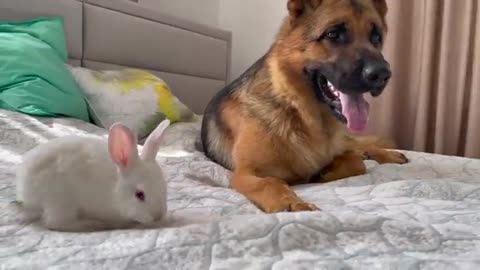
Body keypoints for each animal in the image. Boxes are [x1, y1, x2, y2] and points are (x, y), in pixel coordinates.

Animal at [15, 120, 171, 232]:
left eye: (164, 188)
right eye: (139, 195)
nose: (158, 216)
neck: (115, 189)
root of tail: (25, 192)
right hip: (60, 200)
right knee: (54, 223)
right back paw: (93, 224)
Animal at [201, 0, 406, 213]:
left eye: (376, 37)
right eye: (333, 34)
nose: (383, 74)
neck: (297, 110)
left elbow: (357, 164)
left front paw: (326, 171)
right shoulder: (246, 174)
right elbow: (270, 183)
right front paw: (292, 204)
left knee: (360, 146)